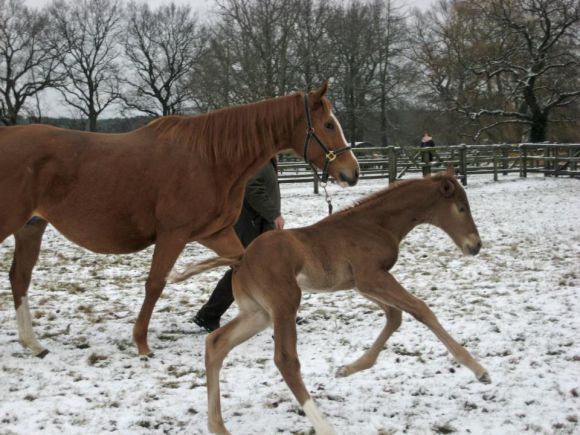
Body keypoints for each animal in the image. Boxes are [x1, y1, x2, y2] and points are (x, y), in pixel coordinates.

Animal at [1, 82, 358, 358]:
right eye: (329, 124)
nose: (351, 173)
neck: (211, 158)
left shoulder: (215, 232)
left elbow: (240, 262)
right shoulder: (173, 234)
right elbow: (155, 283)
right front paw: (141, 343)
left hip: (31, 228)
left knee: (19, 277)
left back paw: (34, 344)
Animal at [171, 168, 490, 435]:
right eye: (461, 208)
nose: (475, 246)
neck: (375, 224)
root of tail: (242, 258)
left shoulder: (362, 284)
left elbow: (394, 316)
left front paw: (348, 368)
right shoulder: (371, 277)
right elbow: (420, 309)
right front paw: (478, 370)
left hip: (258, 313)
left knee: (216, 344)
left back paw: (218, 426)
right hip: (285, 304)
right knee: (285, 360)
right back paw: (324, 426)